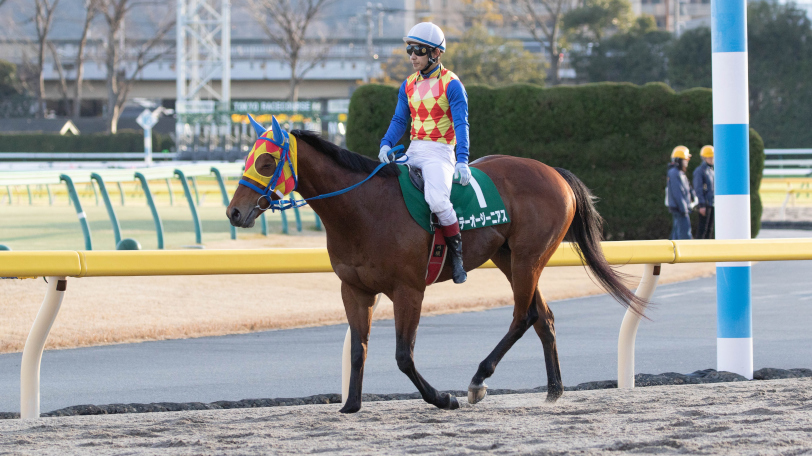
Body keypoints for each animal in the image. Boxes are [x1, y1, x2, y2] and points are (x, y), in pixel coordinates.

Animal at [226, 117, 646, 414]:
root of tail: (556, 172)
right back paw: (554, 390)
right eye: (247, 159)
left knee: (523, 316)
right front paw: (351, 405)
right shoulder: (354, 289)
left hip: (529, 258)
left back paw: (478, 380)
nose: (234, 212)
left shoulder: (408, 290)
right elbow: (359, 348)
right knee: (544, 316)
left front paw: (442, 398)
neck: (363, 210)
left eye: (266, 162)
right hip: (509, 257)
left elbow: (403, 355)